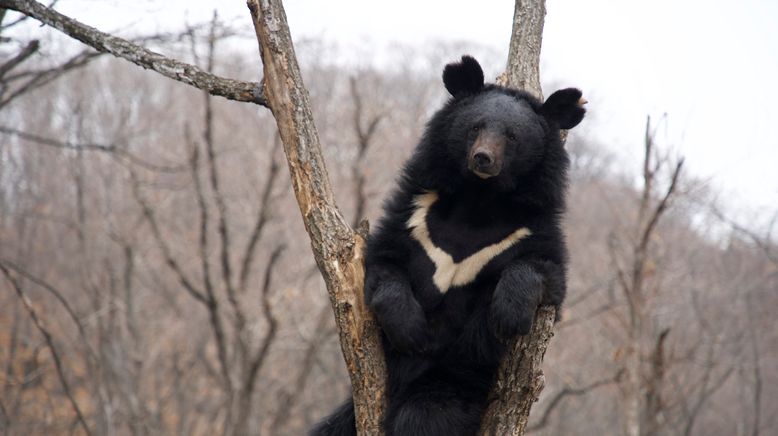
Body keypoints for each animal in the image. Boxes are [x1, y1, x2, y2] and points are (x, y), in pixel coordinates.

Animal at [310, 55, 584, 436]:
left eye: (512, 136)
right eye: (475, 127)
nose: (483, 158)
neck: (478, 199)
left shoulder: (531, 230)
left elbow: (545, 272)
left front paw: (508, 316)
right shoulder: (414, 215)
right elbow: (385, 265)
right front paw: (410, 330)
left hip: (460, 379)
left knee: (427, 415)